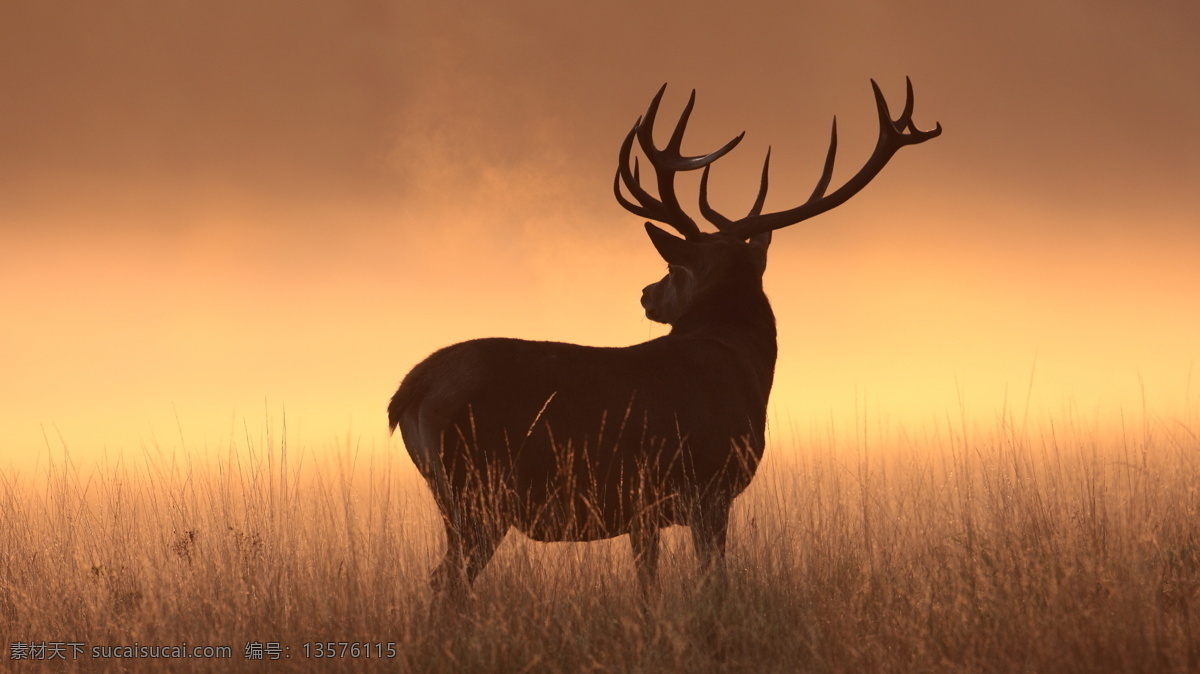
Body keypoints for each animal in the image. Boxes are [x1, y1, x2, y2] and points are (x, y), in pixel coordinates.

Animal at [388, 78, 940, 597]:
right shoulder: (709, 486)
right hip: (478, 491)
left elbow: (648, 584)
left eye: (673, 270)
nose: (645, 294)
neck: (744, 368)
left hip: (461, 497)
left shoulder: (645, 509)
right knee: (445, 582)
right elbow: (712, 581)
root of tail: (409, 390)